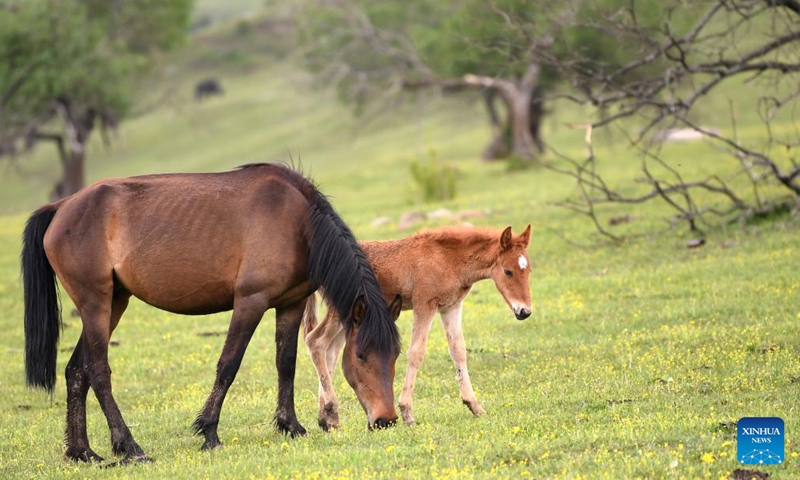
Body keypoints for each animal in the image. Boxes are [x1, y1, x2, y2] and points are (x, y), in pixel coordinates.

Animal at [21, 163, 402, 464]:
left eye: (395, 354)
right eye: (361, 355)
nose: (387, 420)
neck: (297, 221)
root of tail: (61, 207)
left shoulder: (290, 304)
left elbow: (286, 364)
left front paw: (290, 425)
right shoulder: (250, 302)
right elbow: (228, 365)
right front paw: (209, 432)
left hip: (114, 302)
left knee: (76, 371)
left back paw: (82, 452)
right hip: (96, 303)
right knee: (98, 371)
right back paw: (129, 447)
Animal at [304, 225, 532, 430]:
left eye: (529, 270)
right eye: (508, 271)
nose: (524, 312)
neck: (448, 260)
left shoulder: (451, 306)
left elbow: (458, 351)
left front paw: (474, 406)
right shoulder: (424, 304)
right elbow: (416, 352)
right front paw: (407, 413)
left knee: (330, 351)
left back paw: (326, 418)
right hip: (340, 312)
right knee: (316, 341)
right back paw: (330, 412)